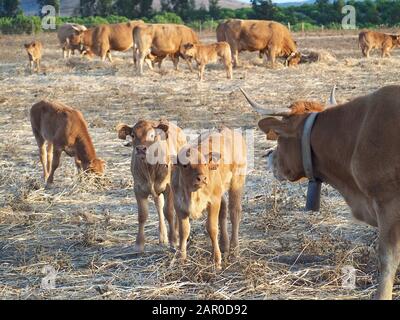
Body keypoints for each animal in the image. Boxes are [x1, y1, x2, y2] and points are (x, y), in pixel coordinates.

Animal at [114, 119, 186, 251]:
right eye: (133, 135)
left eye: (152, 135)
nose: (141, 149)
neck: (150, 168)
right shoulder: (138, 188)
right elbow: (142, 215)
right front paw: (139, 243)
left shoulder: (169, 188)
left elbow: (169, 212)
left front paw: (173, 240)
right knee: (159, 206)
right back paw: (162, 237)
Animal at [172, 127, 247, 270]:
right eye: (185, 165)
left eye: (205, 164)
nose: (202, 178)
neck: (193, 193)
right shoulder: (179, 205)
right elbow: (184, 231)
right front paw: (181, 258)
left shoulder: (213, 202)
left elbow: (212, 228)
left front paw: (216, 260)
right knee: (224, 210)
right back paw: (224, 245)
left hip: (237, 182)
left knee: (234, 212)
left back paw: (234, 250)